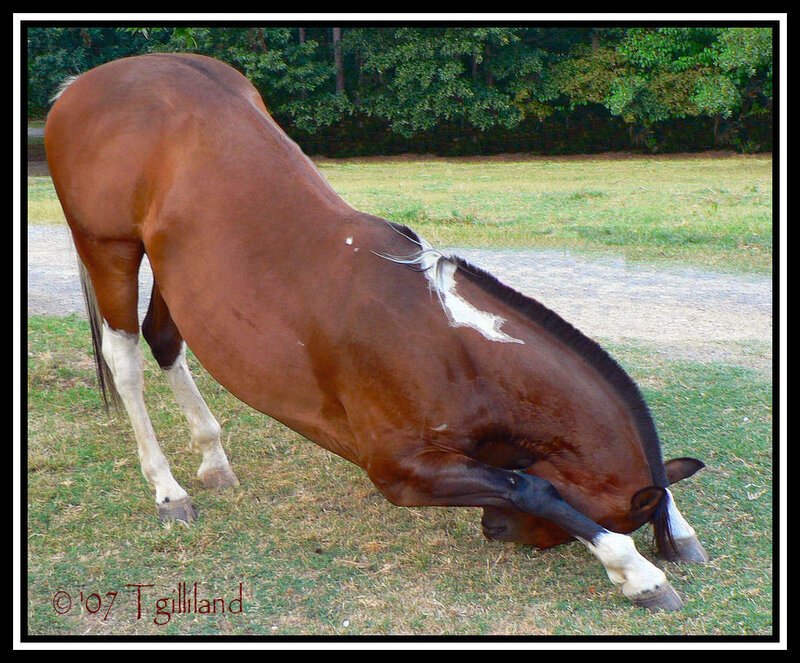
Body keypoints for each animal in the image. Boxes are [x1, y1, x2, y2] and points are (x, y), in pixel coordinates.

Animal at [44, 53, 708, 613]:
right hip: (109, 249)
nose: (491, 529)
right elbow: (530, 487)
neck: (455, 350)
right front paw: (637, 571)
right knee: (126, 360)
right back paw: (168, 489)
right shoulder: (400, 469)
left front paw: (677, 531)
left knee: (165, 342)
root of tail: (80, 87)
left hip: (173, 269)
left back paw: (212, 457)